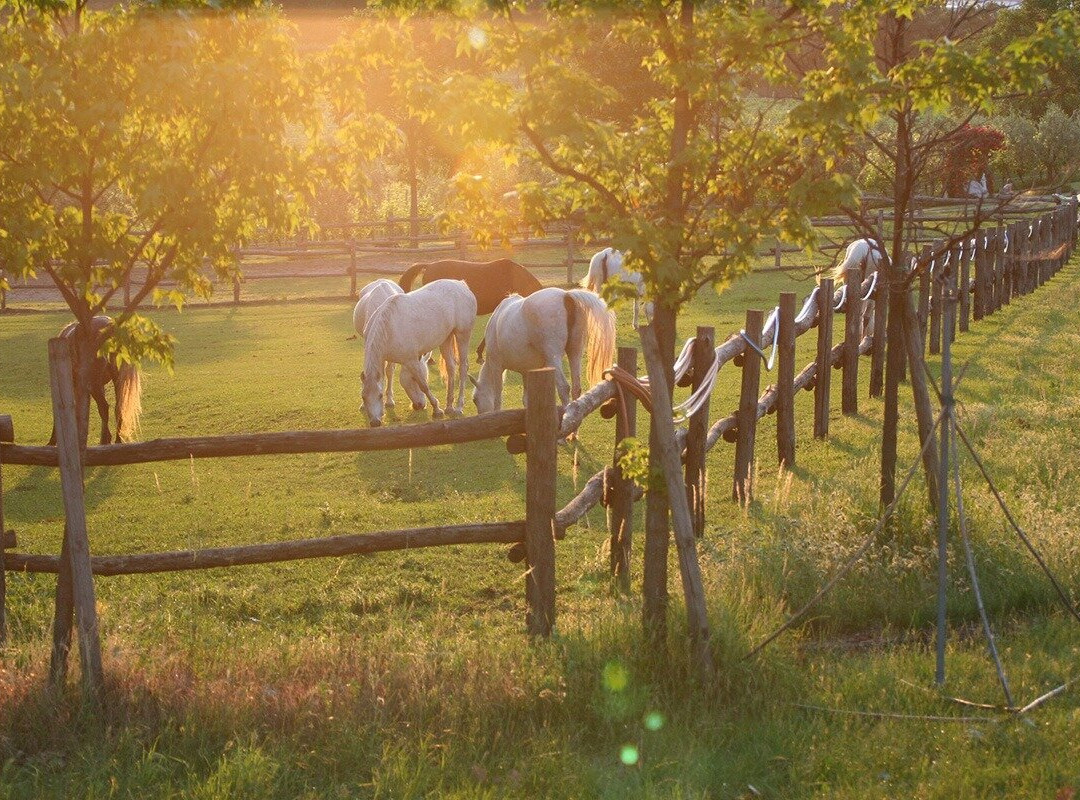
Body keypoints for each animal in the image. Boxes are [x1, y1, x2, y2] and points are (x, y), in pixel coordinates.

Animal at [349, 276, 425, 412]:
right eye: (414, 378)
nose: (420, 405)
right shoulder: (368, 342)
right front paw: (363, 404)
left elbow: (389, 371)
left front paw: (389, 401)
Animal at [360, 276, 475, 425]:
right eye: (363, 397)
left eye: (380, 395)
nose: (375, 422)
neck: (388, 327)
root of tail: (461, 285)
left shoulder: (412, 361)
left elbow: (424, 385)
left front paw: (437, 409)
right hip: (445, 339)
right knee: (451, 368)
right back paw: (449, 406)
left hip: (463, 335)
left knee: (463, 367)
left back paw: (459, 407)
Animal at [475, 287, 617, 412]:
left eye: (475, 400)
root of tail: (566, 295)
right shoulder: (526, 372)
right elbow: (526, 399)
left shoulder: (496, 366)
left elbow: (498, 397)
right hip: (574, 353)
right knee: (576, 388)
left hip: (553, 358)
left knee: (563, 388)